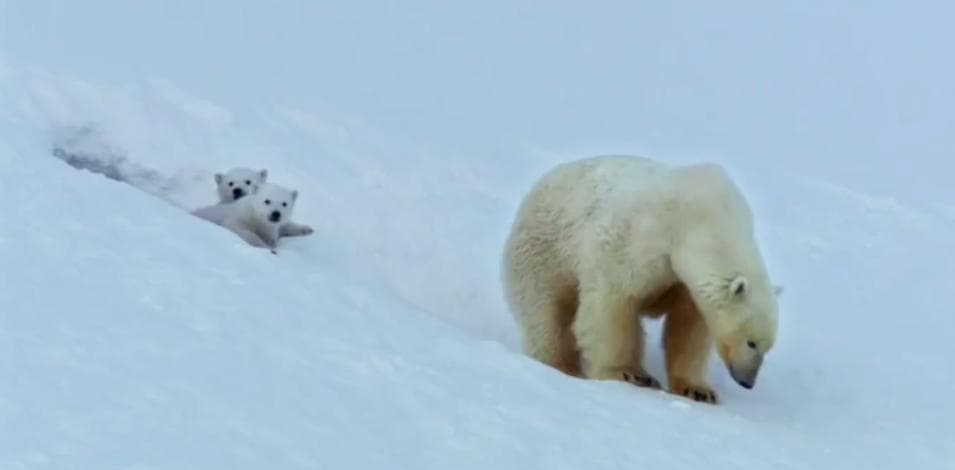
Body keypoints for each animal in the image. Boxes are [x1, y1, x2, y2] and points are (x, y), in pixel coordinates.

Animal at [501, 155, 780, 404]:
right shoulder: (640, 242)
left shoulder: (685, 285)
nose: (747, 382)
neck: (702, 218)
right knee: (546, 314)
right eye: (751, 343)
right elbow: (612, 304)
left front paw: (698, 390)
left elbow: (688, 329)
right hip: (543, 253)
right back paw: (562, 365)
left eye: (767, 347)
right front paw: (627, 374)